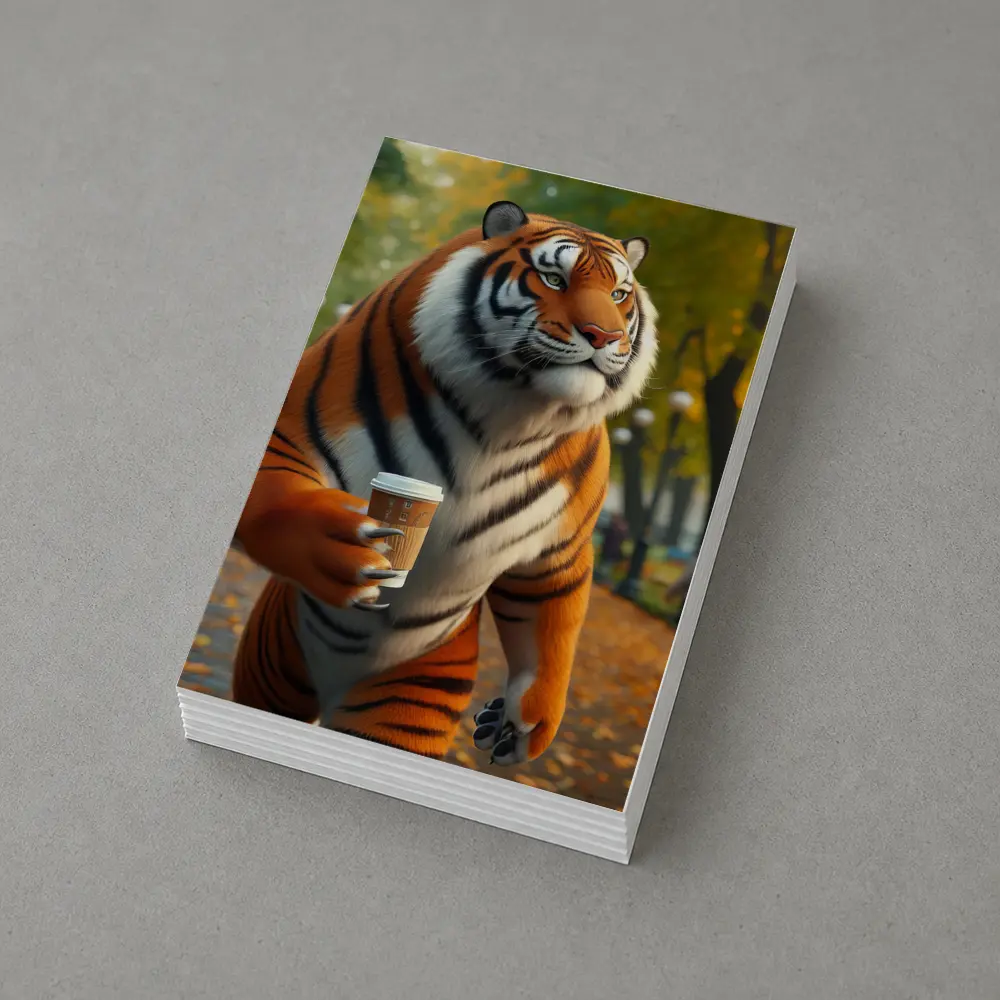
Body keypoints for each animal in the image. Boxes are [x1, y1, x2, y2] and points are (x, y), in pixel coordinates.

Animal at [230, 200, 658, 766]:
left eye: (618, 294)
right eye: (553, 278)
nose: (605, 336)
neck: (513, 414)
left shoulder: (556, 554)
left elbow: (552, 623)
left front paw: (528, 723)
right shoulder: (288, 434)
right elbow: (274, 496)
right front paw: (341, 545)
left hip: (415, 693)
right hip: (274, 667)